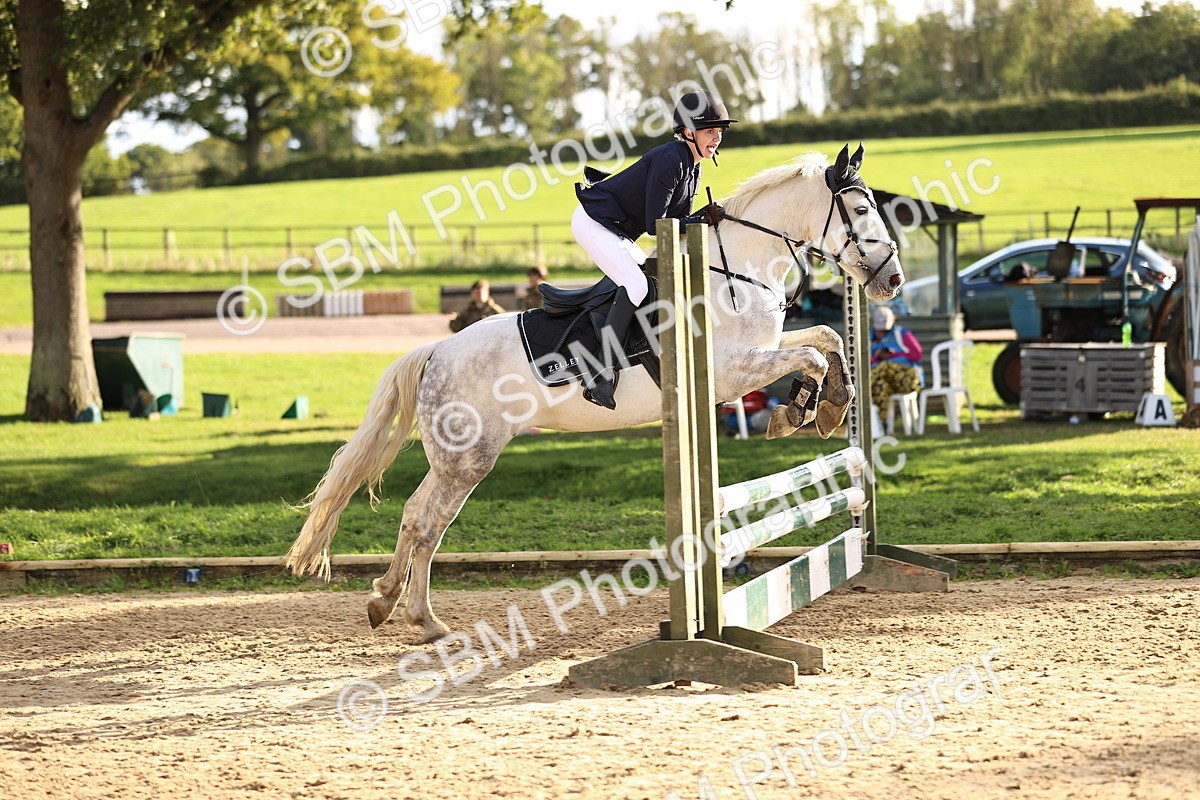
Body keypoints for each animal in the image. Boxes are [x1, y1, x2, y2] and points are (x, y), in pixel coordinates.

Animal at [286, 145, 905, 642]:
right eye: (861, 210)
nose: (892, 280)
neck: (733, 270)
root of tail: (437, 351)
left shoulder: (762, 350)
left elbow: (825, 340)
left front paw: (826, 406)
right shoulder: (731, 372)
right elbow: (813, 354)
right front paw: (804, 411)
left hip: (458, 458)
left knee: (419, 517)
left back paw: (396, 606)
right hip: (469, 458)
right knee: (427, 521)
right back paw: (415, 615)